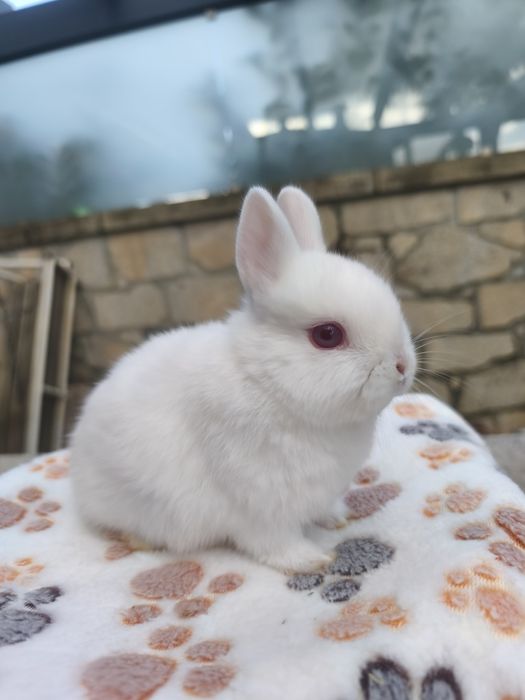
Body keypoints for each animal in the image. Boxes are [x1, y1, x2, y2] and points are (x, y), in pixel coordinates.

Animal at [70, 185, 416, 573]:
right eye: (327, 335)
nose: (402, 366)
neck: (265, 381)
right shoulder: (260, 501)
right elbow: (273, 542)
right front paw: (312, 559)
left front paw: (337, 517)